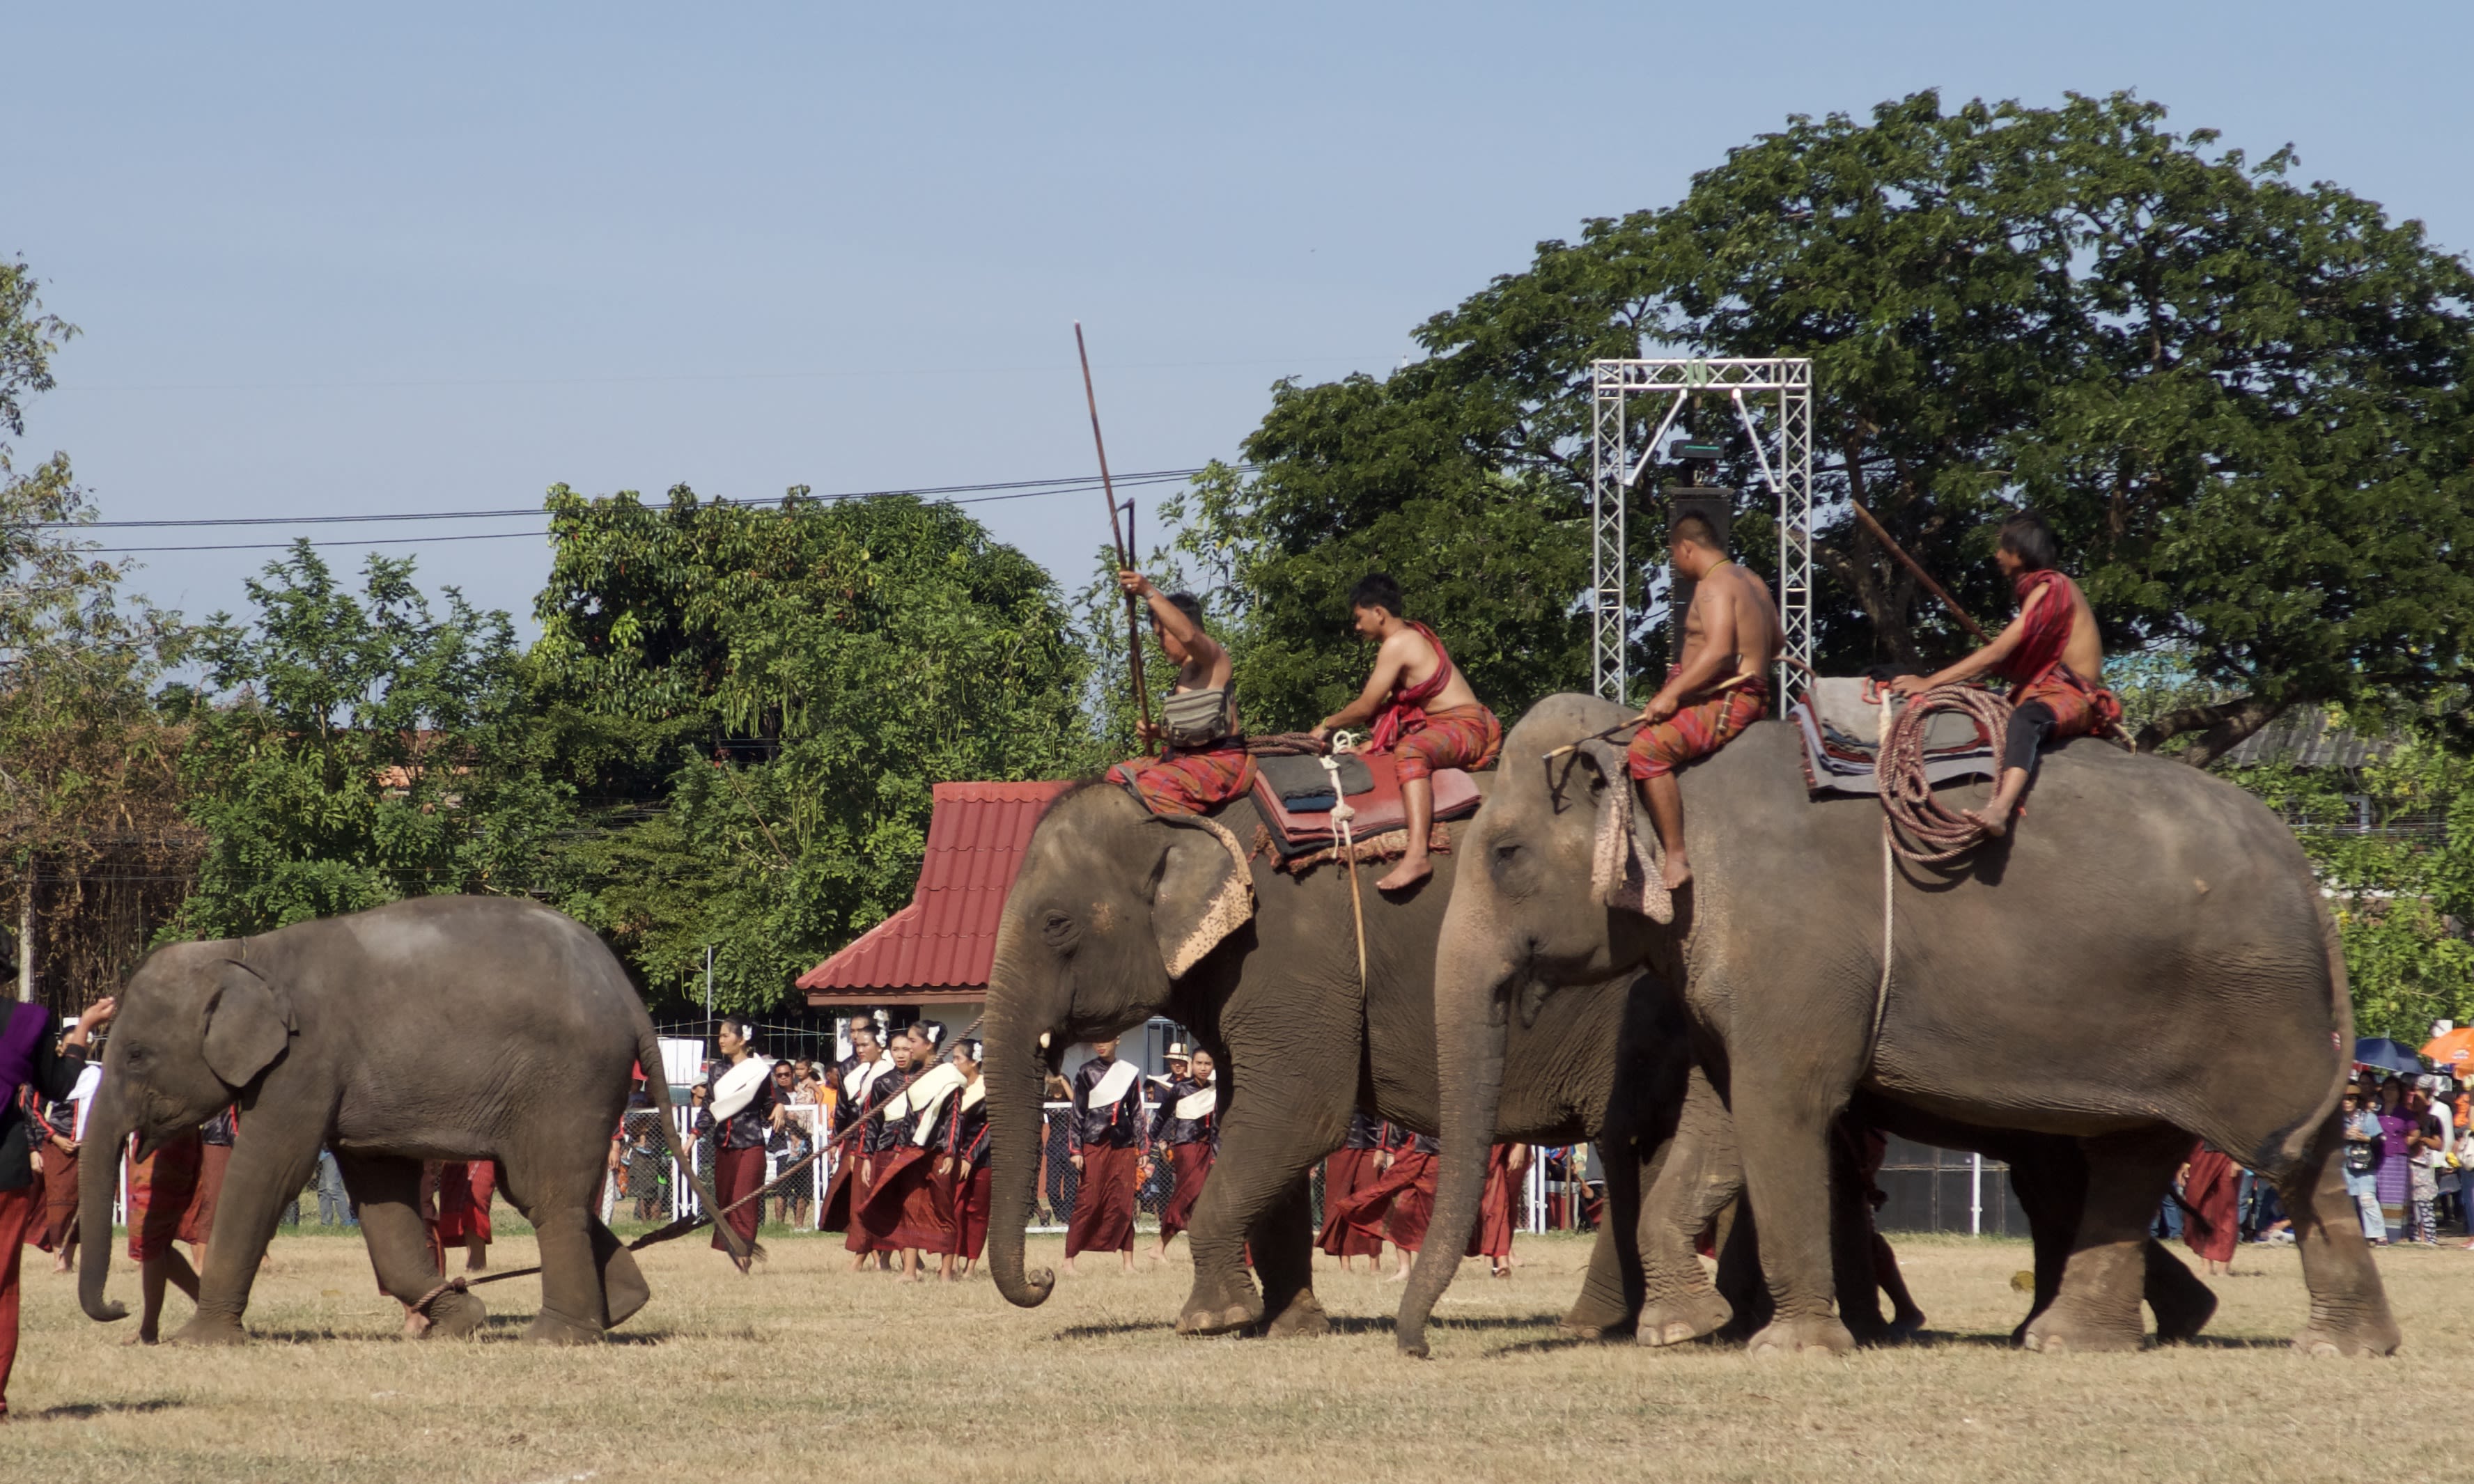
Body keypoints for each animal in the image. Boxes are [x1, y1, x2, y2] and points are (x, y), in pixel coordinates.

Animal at [79, 896, 735, 1344]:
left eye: (134, 1054)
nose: (117, 1311)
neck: (243, 954)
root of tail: (628, 995)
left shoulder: (305, 1062)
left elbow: (269, 1169)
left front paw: (199, 1340)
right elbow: (378, 1187)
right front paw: (460, 1320)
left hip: (570, 1082)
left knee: (547, 1195)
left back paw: (556, 1336)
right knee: (536, 1192)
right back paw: (622, 1307)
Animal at [1396, 694, 2399, 1358]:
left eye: (1505, 852)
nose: (1419, 1346)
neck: (1660, 761)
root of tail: (2307, 871)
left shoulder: (1794, 953)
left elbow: (1782, 1109)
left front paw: (1792, 1347)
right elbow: (1719, 1117)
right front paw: (1682, 1329)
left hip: (2255, 1009)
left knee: (2289, 1157)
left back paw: (2325, 1345)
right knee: (2137, 1154)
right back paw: (2085, 1340)